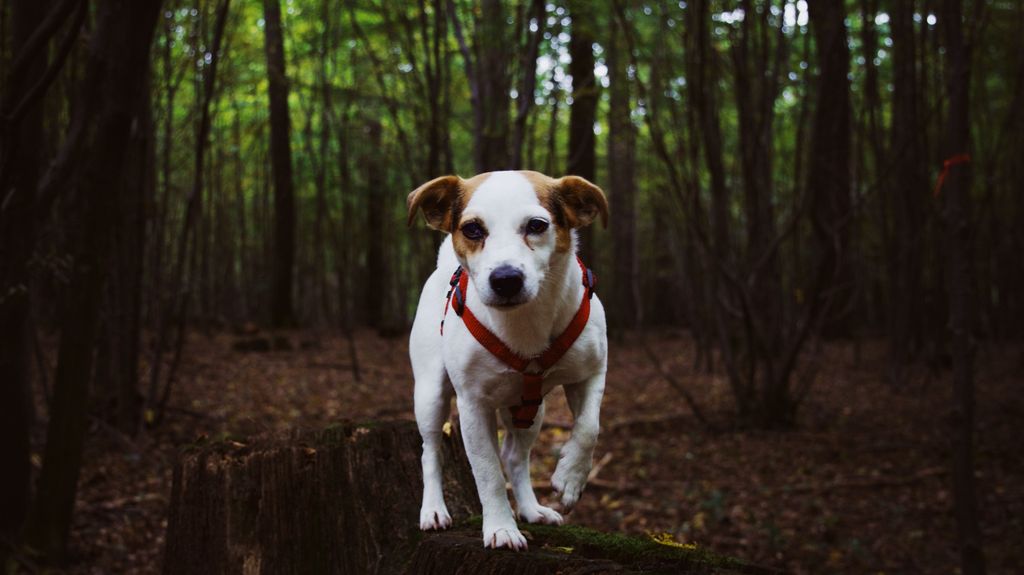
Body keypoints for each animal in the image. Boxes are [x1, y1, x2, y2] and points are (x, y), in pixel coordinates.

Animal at [405, 170, 606, 552]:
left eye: (537, 225)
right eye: (472, 229)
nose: (506, 279)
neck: (524, 324)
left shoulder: (591, 372)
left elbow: (589, 428)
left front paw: (570, 478)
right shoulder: (472, 405)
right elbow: (488, 473)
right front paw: (500, 527)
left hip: (531, 409)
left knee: (515, 456)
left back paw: (530, 509)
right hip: (430, 394)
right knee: (430, 451)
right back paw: (433, 509)